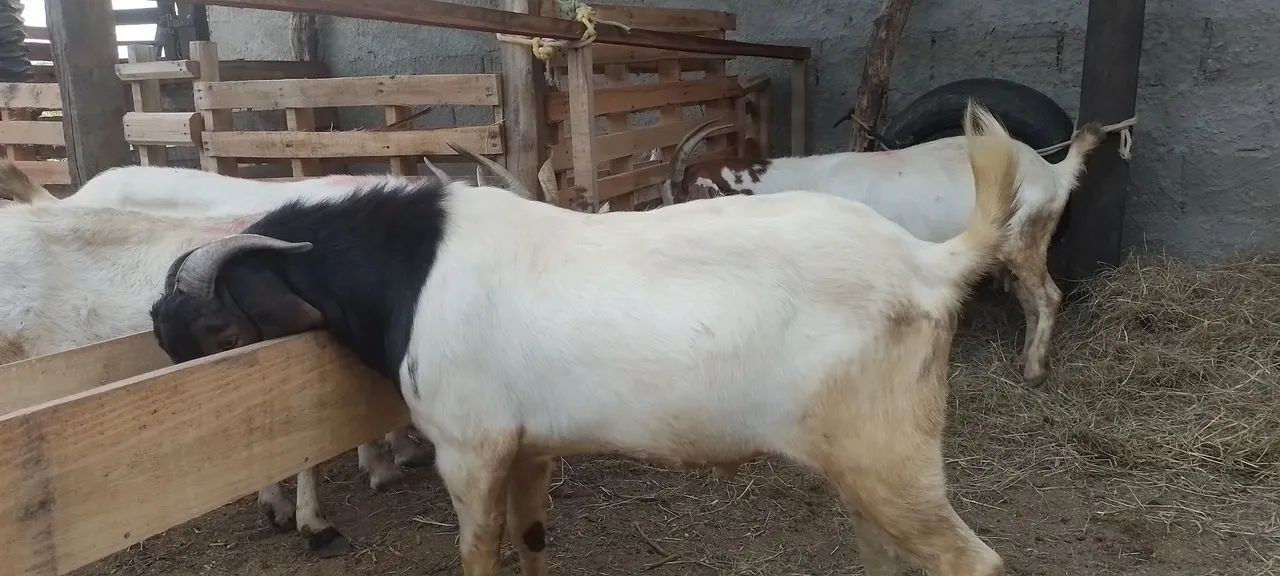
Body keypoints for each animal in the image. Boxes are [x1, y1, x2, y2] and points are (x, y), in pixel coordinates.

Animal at [148, 102, 1019, 576]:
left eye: (212, 324)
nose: (155, 330)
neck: (414, 268)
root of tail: (928, 261)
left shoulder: (469, 446)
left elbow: (478, 553)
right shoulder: (529, 446)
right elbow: (533, 538)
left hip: (890, 454)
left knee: (970, 559)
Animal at [662, 118, 1104, 386]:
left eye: (683, 197)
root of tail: (1055, 173)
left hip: (1023, 242)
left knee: (1048, 297)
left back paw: (1034, 371)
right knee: (1032, 301)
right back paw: (1026, 359)